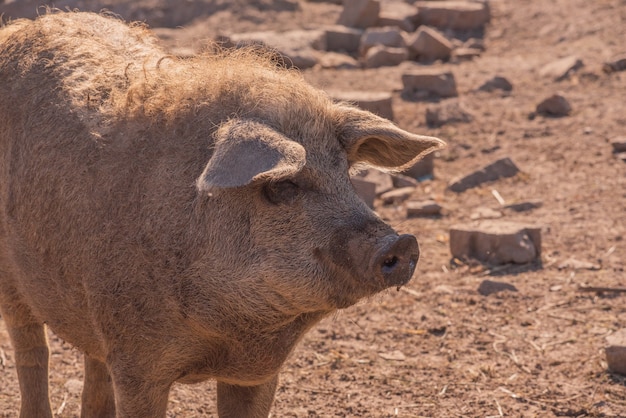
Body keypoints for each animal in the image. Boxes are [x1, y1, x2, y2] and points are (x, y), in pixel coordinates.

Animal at [0, 11, 442, 416]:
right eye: (282, 186)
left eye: (346, 173)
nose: (401, 241)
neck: (228, 336)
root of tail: (23, 25)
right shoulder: (136, 360)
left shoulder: (257, 372)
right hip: (12, 284)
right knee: (32, 351)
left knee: (91, 364)